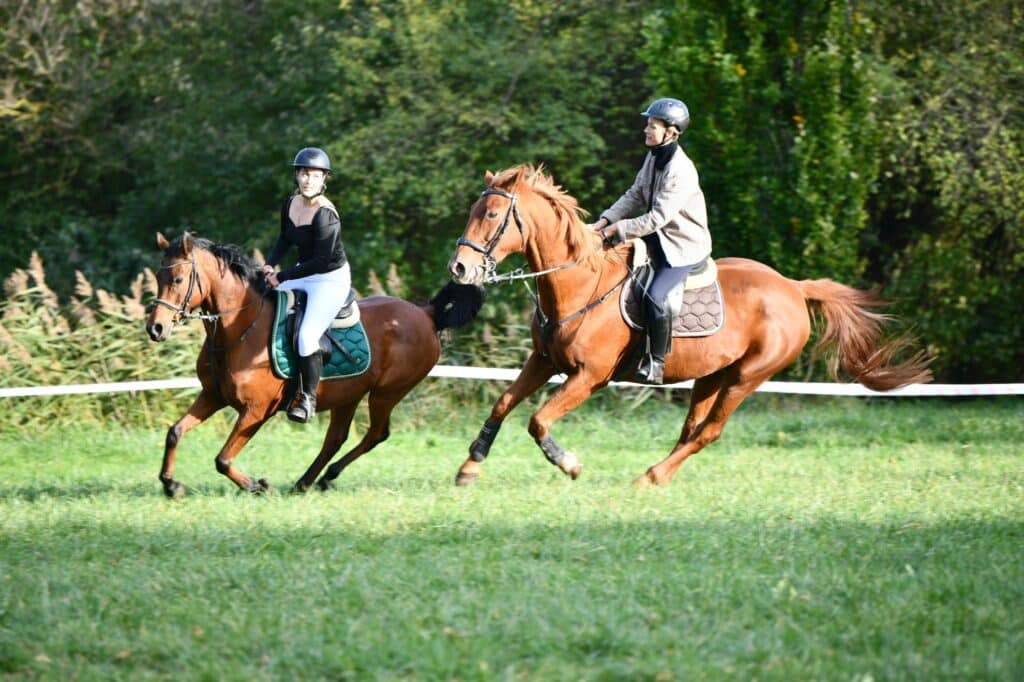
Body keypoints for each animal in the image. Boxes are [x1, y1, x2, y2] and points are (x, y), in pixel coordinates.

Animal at [144, 232, 483, 493]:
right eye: (158, 277)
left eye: (178, 279)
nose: (155, 328)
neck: (240, 328)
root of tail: (426, 313)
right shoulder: (213, 396)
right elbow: (175, 432)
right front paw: (171, 485)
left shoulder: (256, 411)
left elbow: (223, 459)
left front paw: (256, 485)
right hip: (349, 394)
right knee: (336, 438)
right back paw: (308, 481)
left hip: (386, 393)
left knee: (375, 434)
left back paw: (324, 477)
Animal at [446, 163, 929, 483]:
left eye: (492, 216)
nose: (459, 269)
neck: (579, 284)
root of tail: (792, 287)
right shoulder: (543, 360)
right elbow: (503, 404)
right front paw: (469, 466)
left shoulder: (589, 377)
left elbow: (537, 421)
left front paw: (570, 464)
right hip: (712, 375)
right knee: (691, 429)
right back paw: (656, 474)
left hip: (747, 377)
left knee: (709, 431)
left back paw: (650, 478)